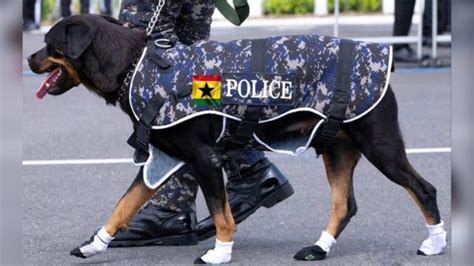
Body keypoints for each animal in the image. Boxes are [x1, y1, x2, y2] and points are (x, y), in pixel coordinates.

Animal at [27, 15, 446, 264]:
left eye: (49, 43)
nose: (29, 59)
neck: (138, 66)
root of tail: (383, 55)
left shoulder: (204, 160)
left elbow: (221, 215)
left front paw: (220, 252)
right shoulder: (161, 160)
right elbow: (123, 206)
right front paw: (95, 243)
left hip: (381, 146)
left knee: (423, 189)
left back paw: (435, 242)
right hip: (337, 148)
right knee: (345, 205)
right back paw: (319, 248)